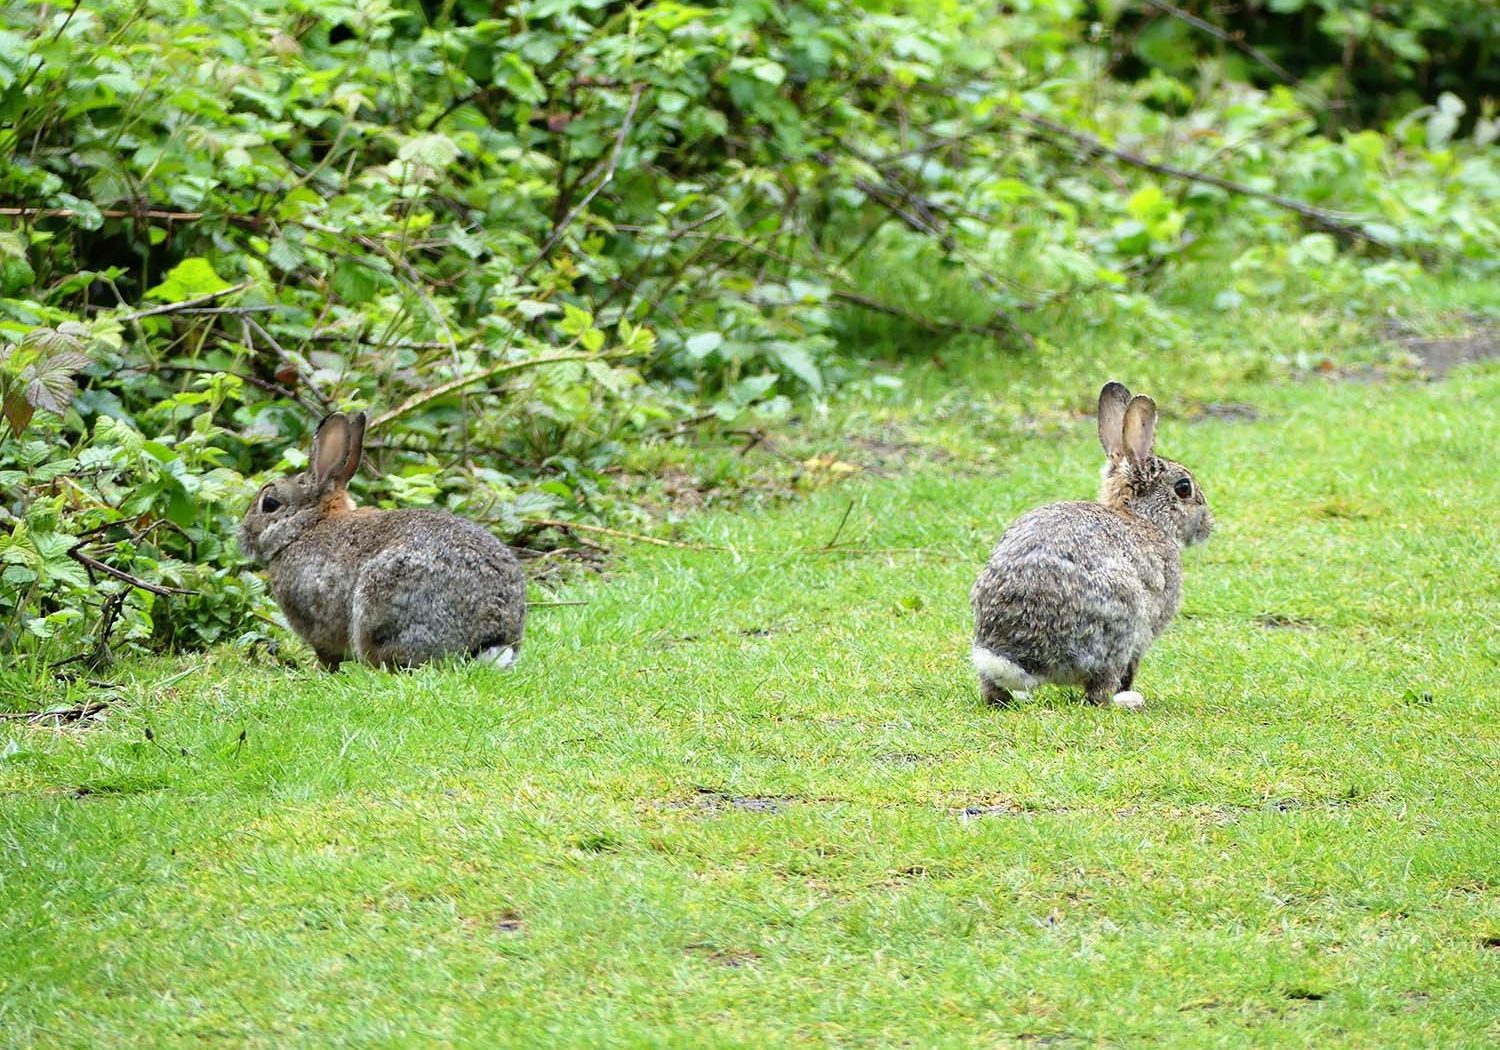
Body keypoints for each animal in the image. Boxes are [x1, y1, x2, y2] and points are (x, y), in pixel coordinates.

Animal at [966, 381, 1212, 711]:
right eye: (1183, 488)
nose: (1208, 526)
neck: (1141, 516)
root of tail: (1023, 658)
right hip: (1120, 624)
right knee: (1100, 691)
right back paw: (1129, 700)